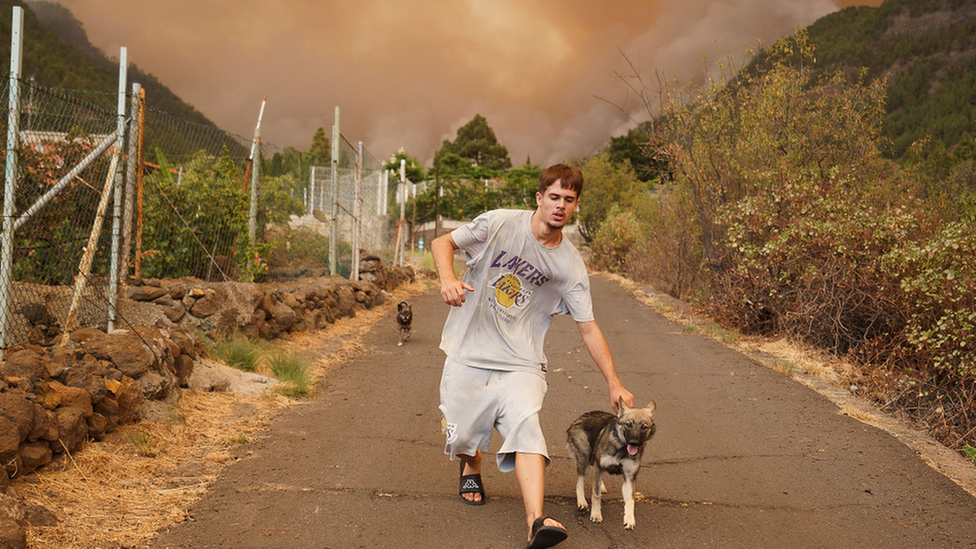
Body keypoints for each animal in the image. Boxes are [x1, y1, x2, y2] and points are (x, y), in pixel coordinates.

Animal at [564, 396, 656, 528]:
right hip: (585, 459)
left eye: (644, 427)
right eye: (628, 424)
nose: (634, 443)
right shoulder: (599, 465)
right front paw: (596, 514)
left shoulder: (629, 478)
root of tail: (580, 417)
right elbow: (596, 494)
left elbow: (630, 500)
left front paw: (629, 518)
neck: (621, 448)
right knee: (580, 482)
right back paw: (581, 501)